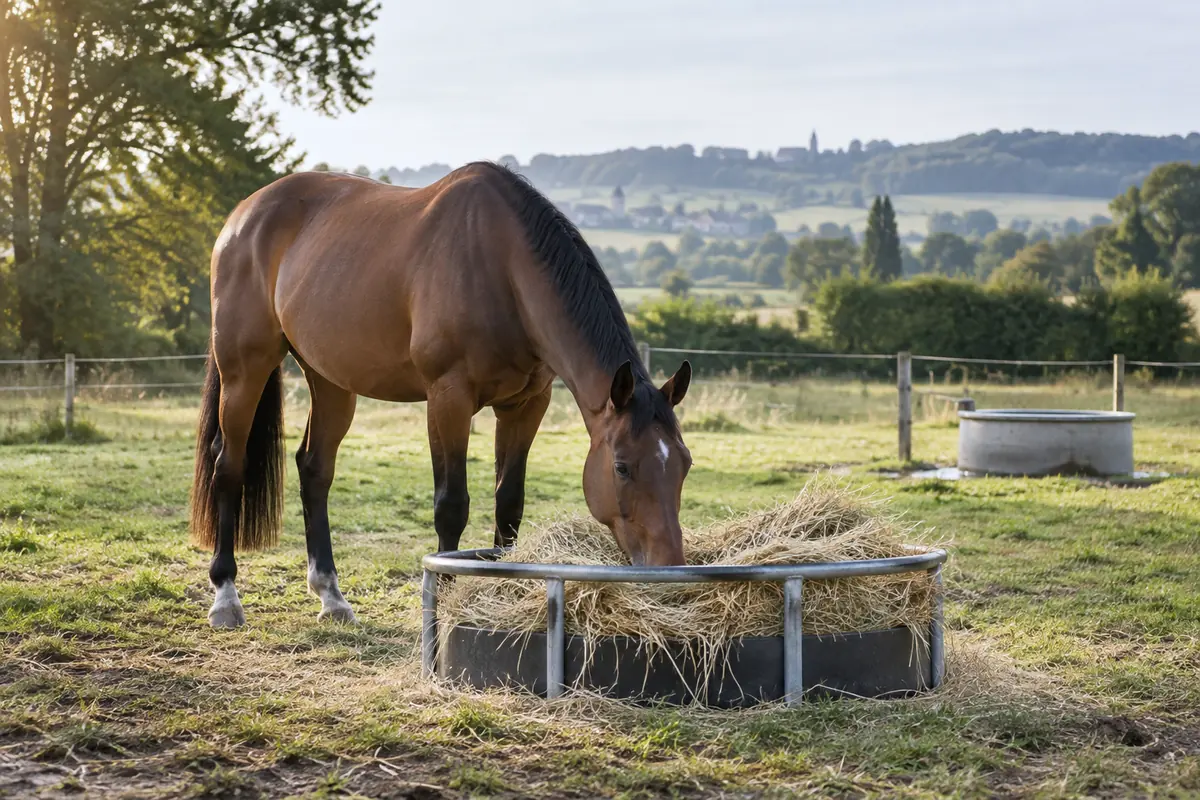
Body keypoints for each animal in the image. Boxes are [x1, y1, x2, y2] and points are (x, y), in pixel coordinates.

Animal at [189, 162, 693, 628]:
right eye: (622, 467)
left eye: (685, 464)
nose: (669, 569)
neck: (502, 266)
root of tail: (243, 215)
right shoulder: (448, 398)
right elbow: (452, 505)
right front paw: (445, 597)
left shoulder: (527, 404)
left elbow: (509, 502)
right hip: (244, 368)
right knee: (227, 465)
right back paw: (226, 596)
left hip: (330, 380)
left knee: (314, 469)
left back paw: (331, 596)